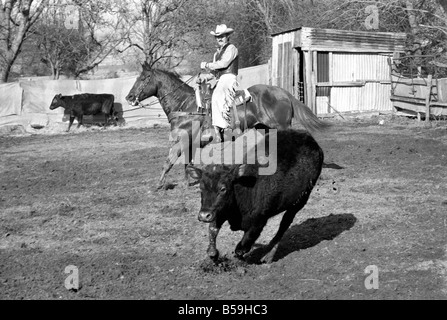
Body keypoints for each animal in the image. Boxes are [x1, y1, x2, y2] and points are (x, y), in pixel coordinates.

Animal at [126, 64, 328, 190]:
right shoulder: (189, 143)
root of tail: (284, 93)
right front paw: (188, 183)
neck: (185, 106)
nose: (129, 97)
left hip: (280, 127)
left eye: (144, 78)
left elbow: (168, 162)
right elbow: (187, 163)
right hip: (265, 128)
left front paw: (159, 185)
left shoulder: (180, 142)